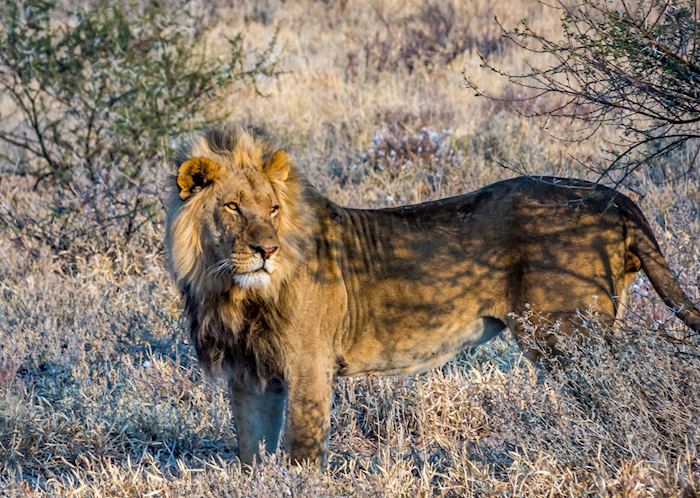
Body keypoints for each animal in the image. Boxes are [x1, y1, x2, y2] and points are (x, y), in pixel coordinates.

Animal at [165, 124, 700, 468]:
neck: (232, 291)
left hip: (568, 338)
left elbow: (301, 453)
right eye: (233, 207)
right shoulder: (249, 375)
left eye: (273, 209)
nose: (267, 250)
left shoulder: (308, 365)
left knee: (628, 396)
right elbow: (251, 453)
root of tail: (614, 196)